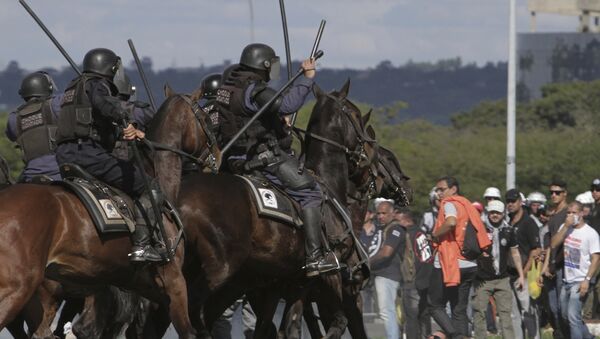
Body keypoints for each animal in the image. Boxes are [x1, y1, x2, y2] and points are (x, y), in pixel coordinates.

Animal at [0, 85, 220, 339]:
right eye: (206, 118)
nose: (218, 155)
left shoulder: (141, 287)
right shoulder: (173, 280)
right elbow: (188, 331)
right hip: (19, 289)